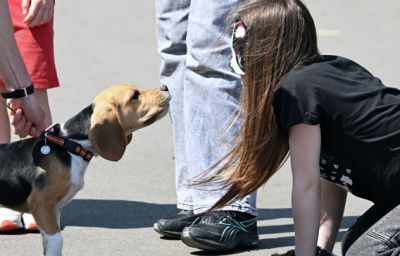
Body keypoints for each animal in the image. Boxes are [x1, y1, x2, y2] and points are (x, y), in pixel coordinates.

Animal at [0, 83, 170, 255]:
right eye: (135, 95)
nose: (165, 87)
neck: (72, 145)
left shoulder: (54, 210)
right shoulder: (42, 203)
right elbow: (57, 240)